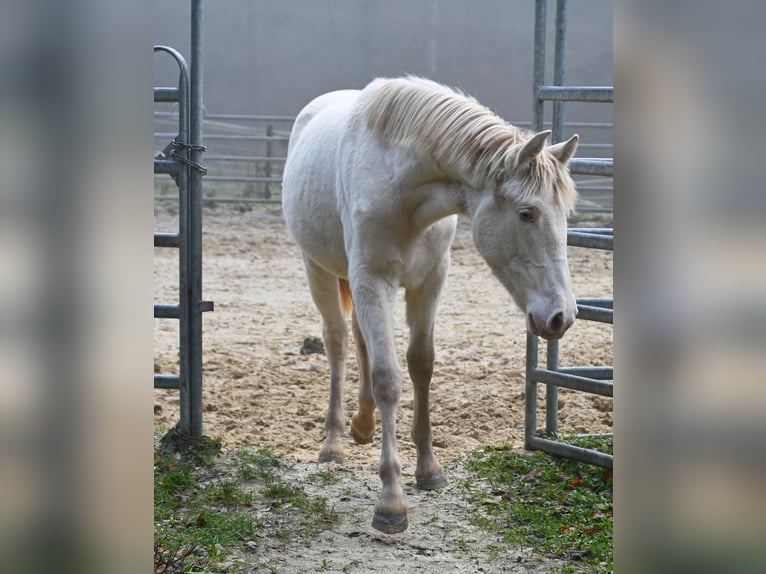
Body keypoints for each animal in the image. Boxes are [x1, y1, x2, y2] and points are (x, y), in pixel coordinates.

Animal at [284, 76, 580, 536]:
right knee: (337, 342)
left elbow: (421, 364)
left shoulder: (429, 282)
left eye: (566, 213)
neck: (401, 187)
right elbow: (389, 377)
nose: (561, 316)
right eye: (527, 213)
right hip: (318, 269)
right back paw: (333, 442)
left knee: (360, 340)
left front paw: (428, 469)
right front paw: (391, 502)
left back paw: (363, 424)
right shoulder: (373, 280)